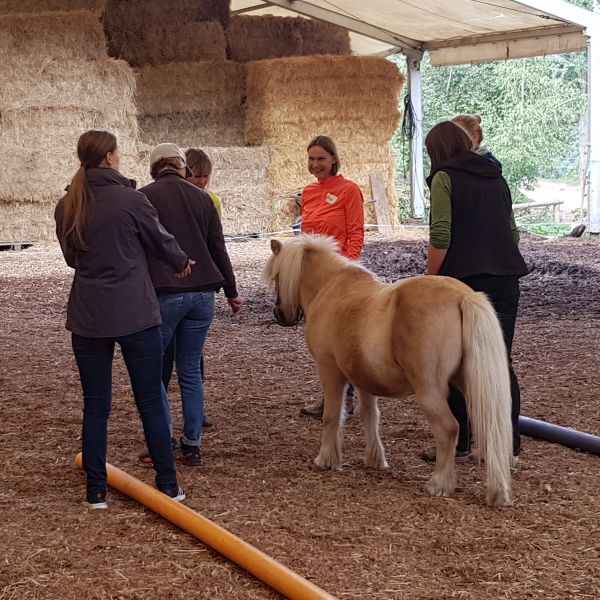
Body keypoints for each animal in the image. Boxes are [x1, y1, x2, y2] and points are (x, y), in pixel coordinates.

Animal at [264, 234, 512, 506]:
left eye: (277, 276)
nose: (280, 314)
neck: (329, 289)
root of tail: (462, 297)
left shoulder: (329, 371)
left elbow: (331, 415)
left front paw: (325, 459)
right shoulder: (362, 378)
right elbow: (370, 416)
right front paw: (375, 459)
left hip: (430, 391)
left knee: (448, 429)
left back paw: (438, 484)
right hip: (472, 385)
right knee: (491, 429)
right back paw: (498, 492)